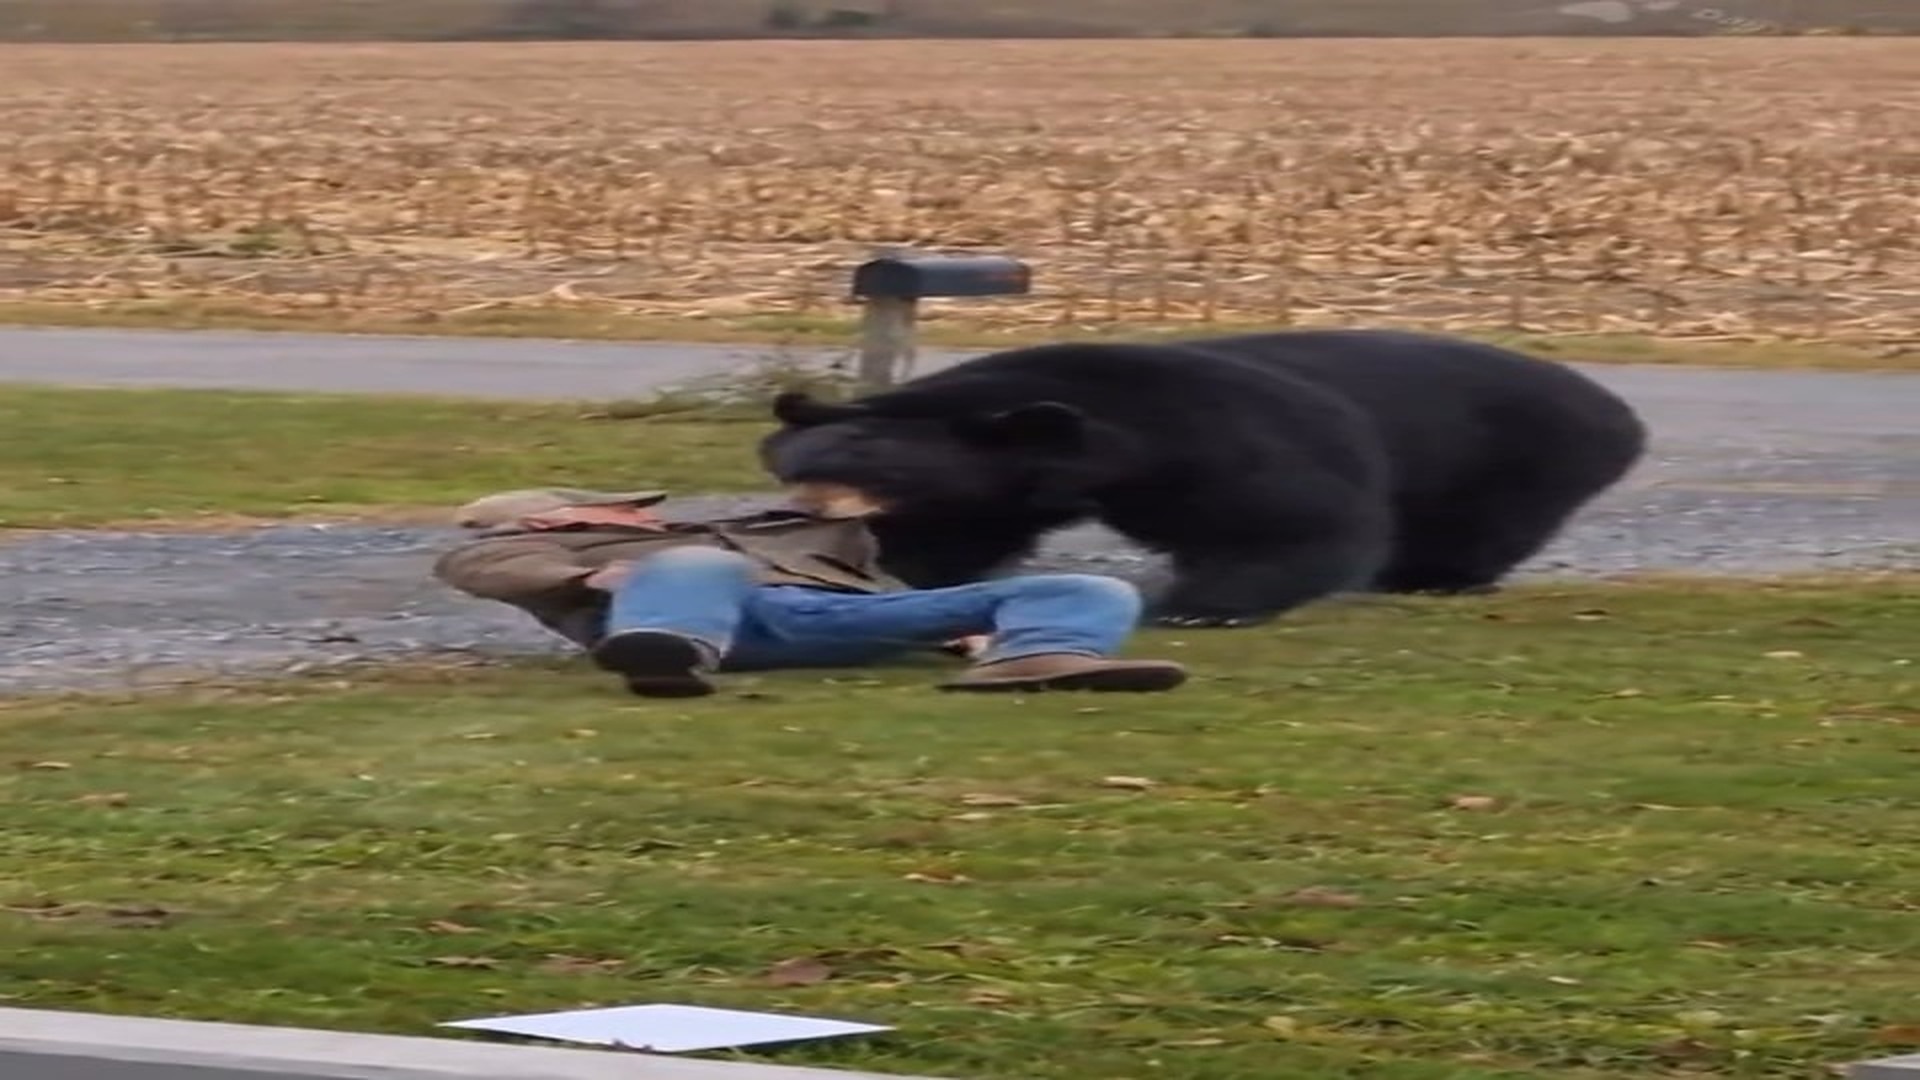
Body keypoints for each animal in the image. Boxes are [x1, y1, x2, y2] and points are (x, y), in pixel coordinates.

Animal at [759, 328, 1648, 628]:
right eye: (795, 462)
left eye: (871, 465)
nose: (792, 512)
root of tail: (1620, 413)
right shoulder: (998, 485)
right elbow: (957, 537)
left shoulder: (1219, 440)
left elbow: (1290, 519)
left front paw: (1197, 607)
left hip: (1514, 461)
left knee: (1477, 526)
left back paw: (1435, 577)